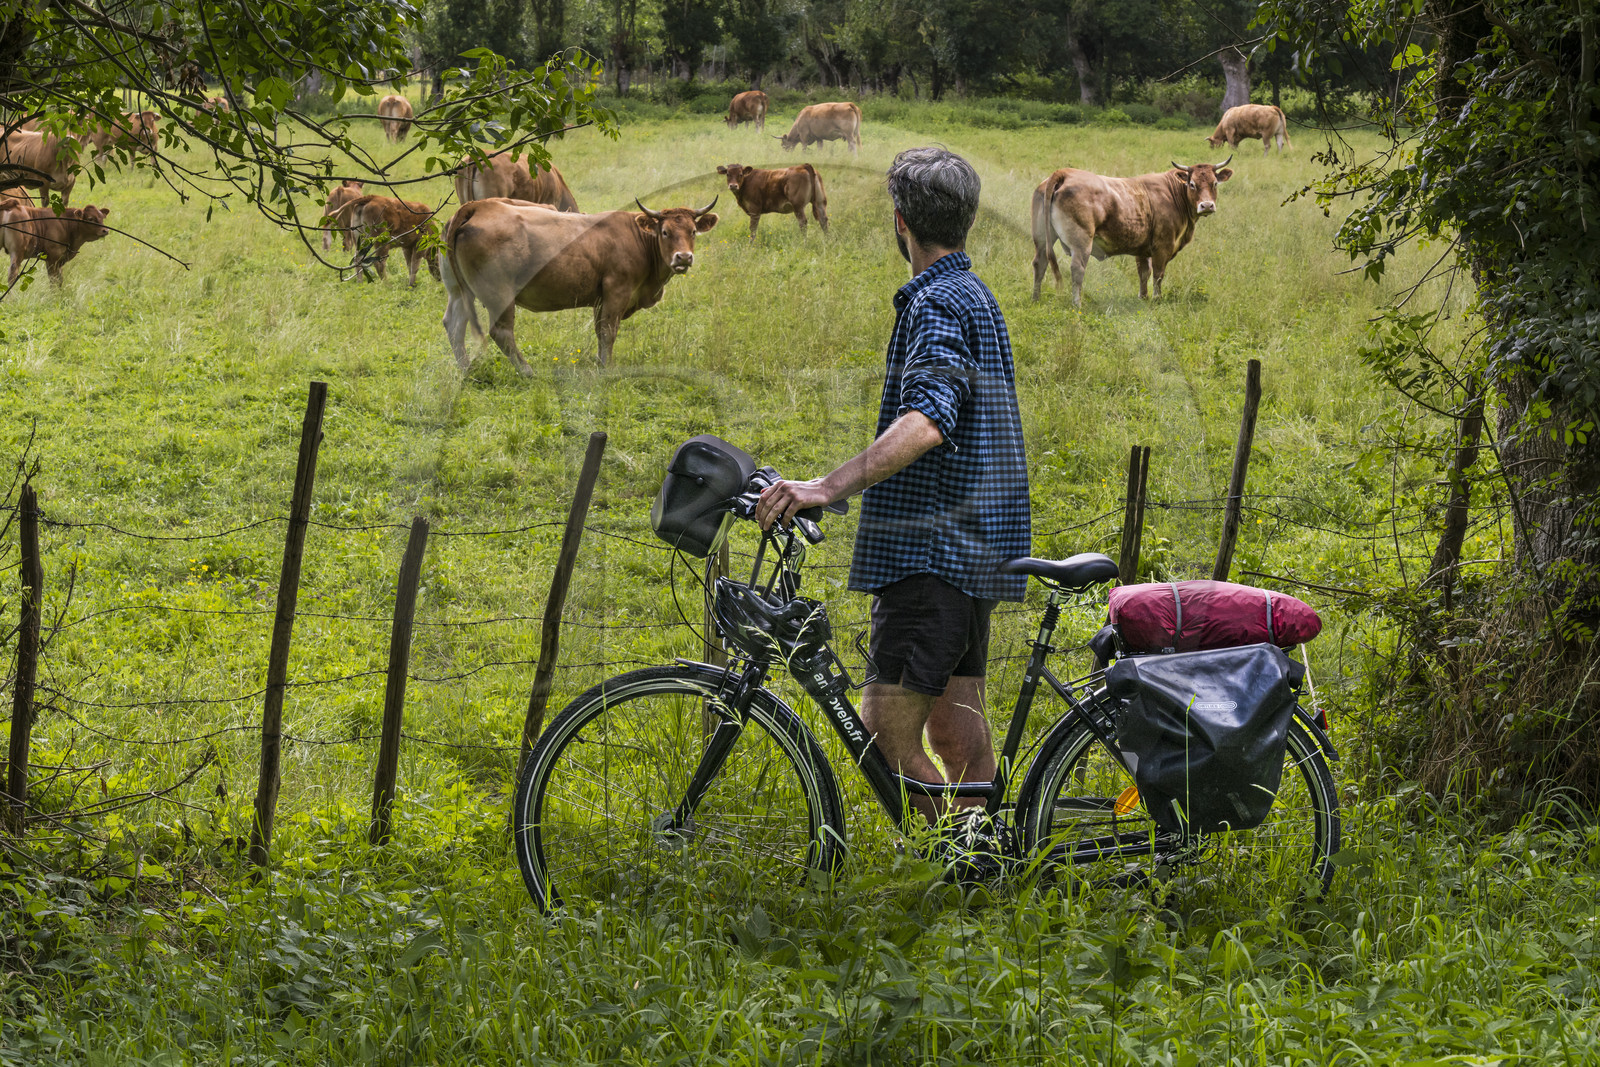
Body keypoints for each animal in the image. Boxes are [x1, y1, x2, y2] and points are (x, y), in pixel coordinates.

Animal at [441, 196, 719, 372]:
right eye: (665, 232)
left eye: (693, 232)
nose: (683, 257)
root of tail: (479, 206)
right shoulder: (616, 292)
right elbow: (608, 332)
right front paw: (607, 367)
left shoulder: (600, 298)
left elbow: (599, 331)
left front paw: (599, 361)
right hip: (499, 293)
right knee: (501, 332)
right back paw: (527, 371)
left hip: (458, 291)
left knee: (454, 325)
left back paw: (466, 370)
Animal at [1031, 158, 1233, 306]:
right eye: (1192, 184)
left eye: (1215, 183)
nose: (1206, 205)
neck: (1172, 193)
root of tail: (1064, 173)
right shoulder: (1163, 246)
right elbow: (1158, 274)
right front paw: (1157, 299)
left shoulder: (1142, 249)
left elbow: (1143, 273)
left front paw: (1143, 297)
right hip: (1081, 243)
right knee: (1077, 269)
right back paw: (1077, 303)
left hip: (1041, 239)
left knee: (1040, 263)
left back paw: (1036, 299)